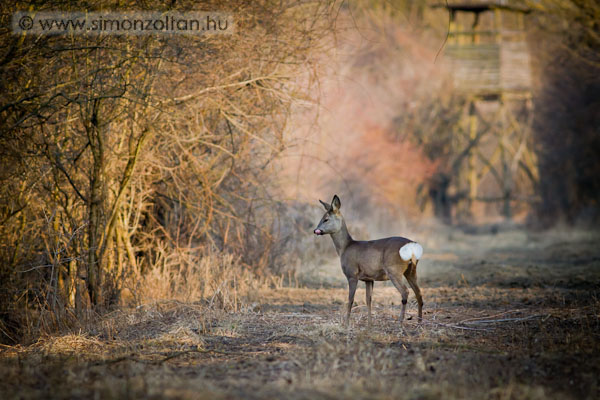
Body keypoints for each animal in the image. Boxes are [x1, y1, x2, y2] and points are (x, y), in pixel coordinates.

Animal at [314, 195, 422, 328]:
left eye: (326, 219)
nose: (316, 230)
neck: (345, 247)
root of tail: (412, 246)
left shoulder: (352, 274)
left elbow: (350, 300)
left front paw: (346, 324)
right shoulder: (369, 279)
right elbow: (368, 300)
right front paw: (370, 324)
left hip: (394, 270)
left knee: (405, 292)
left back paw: (400, 322)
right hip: (411, 271)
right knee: (418, 293)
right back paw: (419, 321)